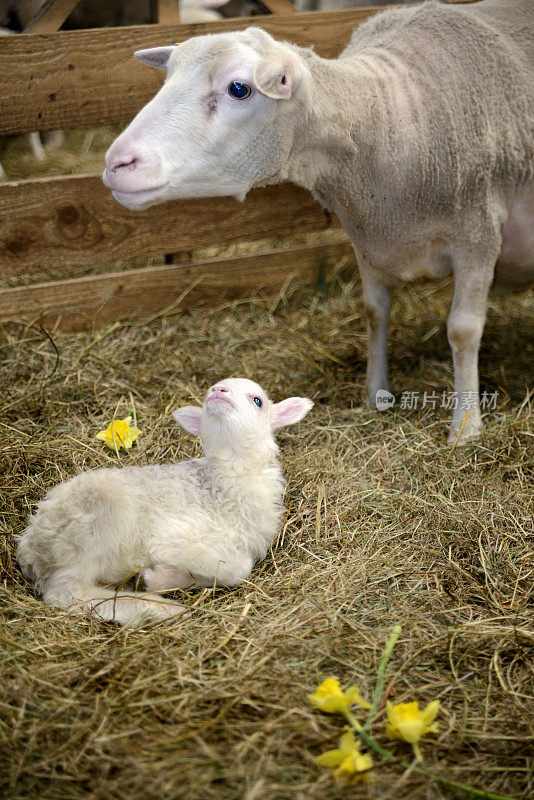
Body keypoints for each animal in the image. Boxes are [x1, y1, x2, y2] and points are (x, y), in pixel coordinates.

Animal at [17, 378, 314, 628]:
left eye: (257, 401)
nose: (218, 390)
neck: (219, 486)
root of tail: (29, 549)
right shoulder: (176, 536)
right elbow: (239, 568)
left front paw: (157, 579)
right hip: (97, 521)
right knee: (65, 590)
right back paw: (156, 609)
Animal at [103, 0, 534, 444]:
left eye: (239, 89)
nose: (116, 164)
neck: (388, 115)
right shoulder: (366, 235)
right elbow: (374, 311)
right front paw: (375, 393)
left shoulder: (478, 233)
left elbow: (463, 330)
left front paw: (465, 427)